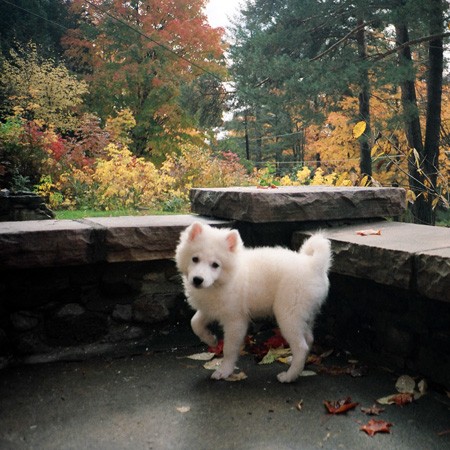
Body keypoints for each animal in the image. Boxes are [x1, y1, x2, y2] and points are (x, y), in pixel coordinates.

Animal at [174, 221, 332, 384]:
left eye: (215, 265)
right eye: (195, 259)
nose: (197, 280)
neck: (222, 282)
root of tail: (314, 264)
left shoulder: (235, 321)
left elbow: (229, 349)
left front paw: (224, 371)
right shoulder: (210, 308)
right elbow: (195, 323)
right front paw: (211, 340)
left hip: (288, 314)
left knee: (301, 347)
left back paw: (289, 376)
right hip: (304, 314)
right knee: (309, 339)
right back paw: (294, 363)